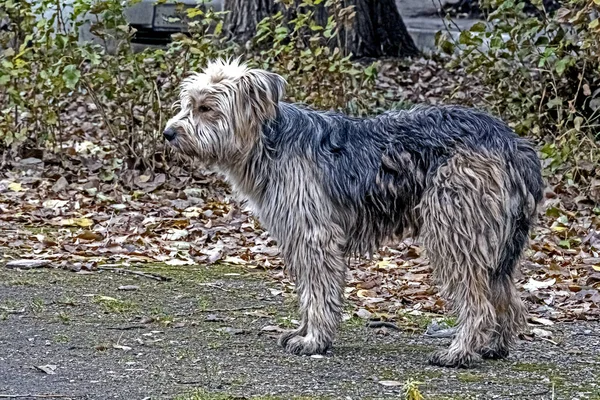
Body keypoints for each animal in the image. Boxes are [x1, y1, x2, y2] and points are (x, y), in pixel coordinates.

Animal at [163, 57, 544, 368]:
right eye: (187, 104)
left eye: (207, 107)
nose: (168, 133)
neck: (267, 141)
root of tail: (513, 143)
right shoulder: (298, 235)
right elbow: (308, 291)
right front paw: (305, 332)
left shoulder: (314, 234)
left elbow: (318, 290)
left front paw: (314, 340)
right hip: (495, 240)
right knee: (505, 295)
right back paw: (493, 346)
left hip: (453, 228)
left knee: (478, 302)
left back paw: (460, 352)